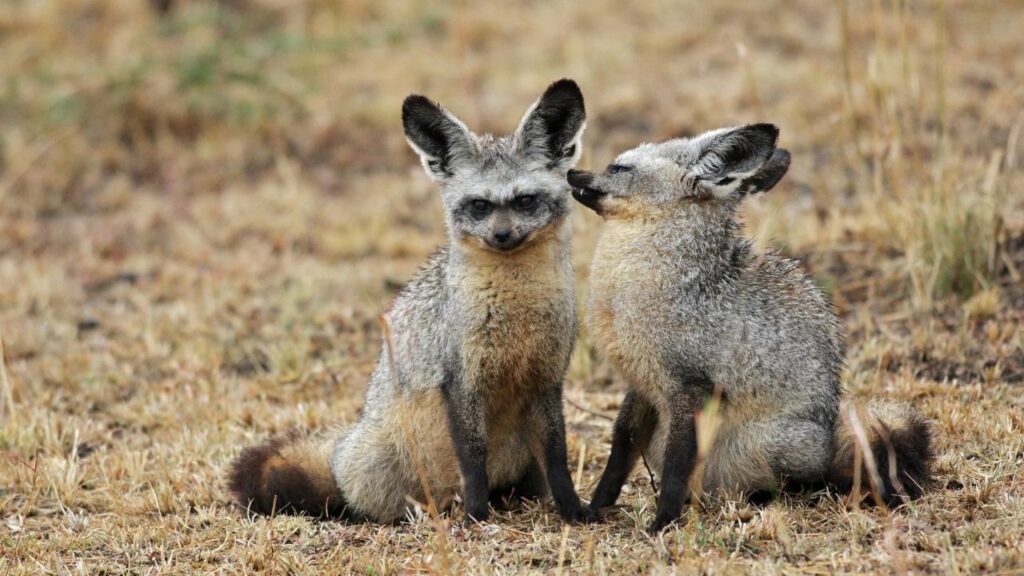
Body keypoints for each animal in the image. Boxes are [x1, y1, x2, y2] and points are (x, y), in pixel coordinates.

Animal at [224, 80, 593, 524]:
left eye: (525, 201)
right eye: (480, 205)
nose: (502, 236)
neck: (517, 313)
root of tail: (342, 450)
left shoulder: (546, 381)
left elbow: (558, 458)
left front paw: (573, 509)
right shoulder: (461, 383)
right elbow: (473, 459)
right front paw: (476, 516)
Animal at [569, 123, 937, 532]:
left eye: (619, 168)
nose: (571, 173)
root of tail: (830, 432)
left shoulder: (691, 389)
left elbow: (676, 466)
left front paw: (663, 520)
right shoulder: (643, 384)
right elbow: (621, 448)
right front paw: (595, 505)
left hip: (766, 444)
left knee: (809, 478)